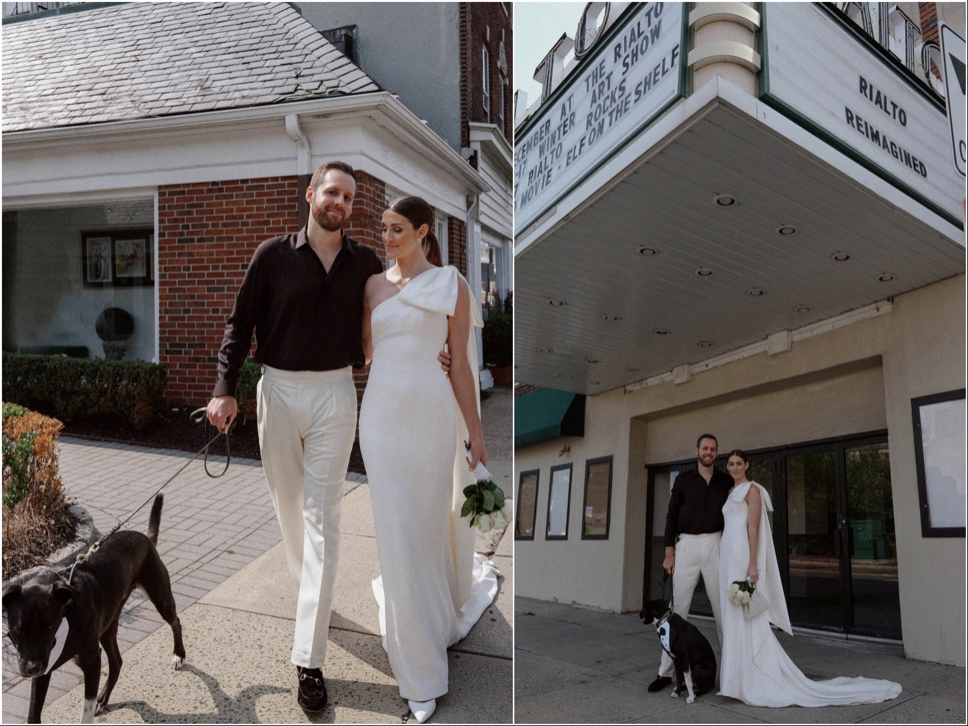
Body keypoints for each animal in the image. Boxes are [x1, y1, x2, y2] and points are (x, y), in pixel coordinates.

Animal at [2, 498, 184, 724]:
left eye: (49, 626)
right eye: (18, 631)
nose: (31, 668)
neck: (68, 614)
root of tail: (145, 538)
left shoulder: (91, 661)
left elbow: (85, 711)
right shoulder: (44, 667)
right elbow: (33, 714)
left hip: (160, 596)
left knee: (176, 622)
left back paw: (179, 655)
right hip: (107, 627)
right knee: (117, 662)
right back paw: (103, 698)